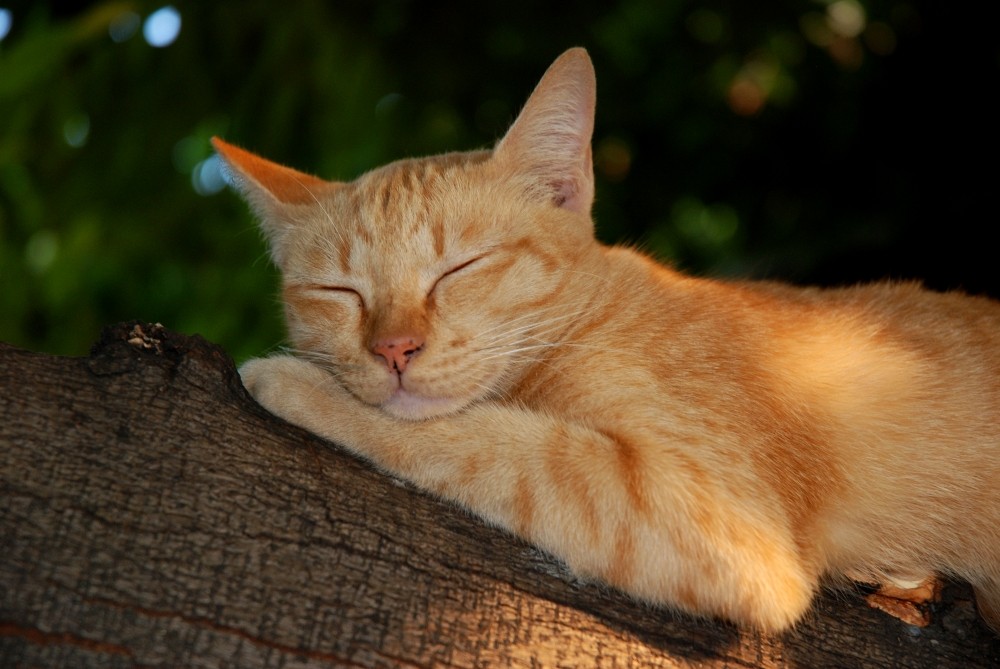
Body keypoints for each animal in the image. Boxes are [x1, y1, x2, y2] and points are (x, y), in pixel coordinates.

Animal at [213, 45, 1000, 632]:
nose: (393, 349)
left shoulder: (711, 515)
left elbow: (485, 440)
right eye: (340, 292)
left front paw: (296, 382)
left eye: (459, 267)